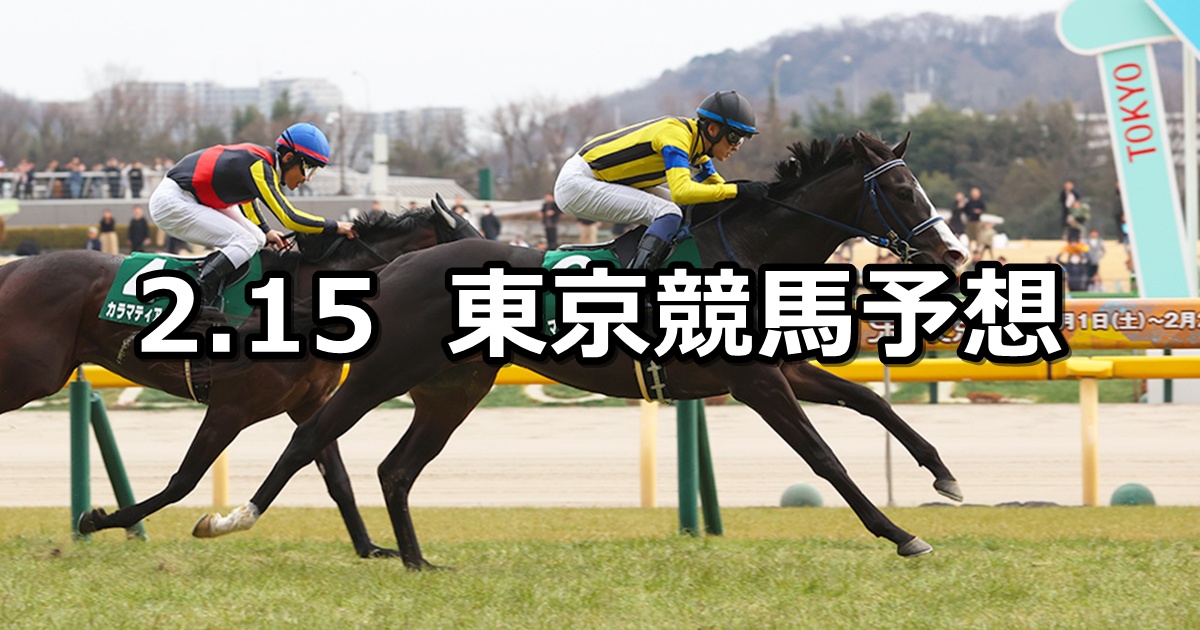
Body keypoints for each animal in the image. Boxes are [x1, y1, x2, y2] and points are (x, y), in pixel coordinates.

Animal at [0, 205, 478, 557]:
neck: (295, 303)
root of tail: (15, 268)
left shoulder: (307, 403)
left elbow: (335, 477)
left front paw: (370, 547)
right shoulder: (231, 408)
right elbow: (183, 480)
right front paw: (96, 519)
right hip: (32, 375)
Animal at [196, 132, 970, 565]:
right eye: (904, 189)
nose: (954, 252)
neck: (746, 251)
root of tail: (394, 266)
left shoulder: (780, 368)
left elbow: (869, 401)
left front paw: (943, 475)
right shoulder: (757, 384)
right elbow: (823, 457)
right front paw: (901, 533)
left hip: (453, 390)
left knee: (396, 468)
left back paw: (419, 564)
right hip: (378, 377)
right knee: (313, 441)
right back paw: (231, 520)